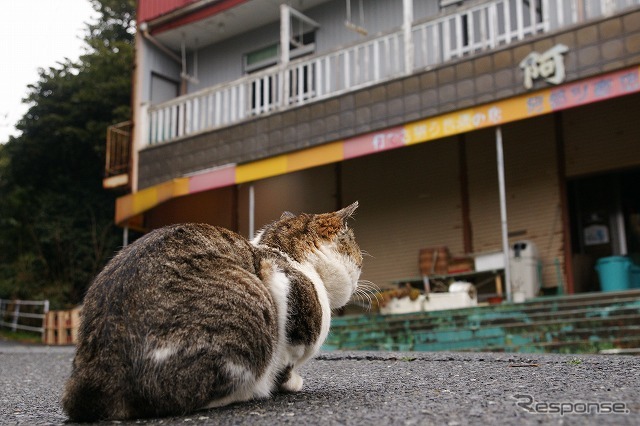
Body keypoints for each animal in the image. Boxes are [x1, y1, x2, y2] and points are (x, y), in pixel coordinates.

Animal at [62, 202, 362, 420]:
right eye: (358, 258)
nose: (360, 274)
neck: (286, 254)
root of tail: (95, 379)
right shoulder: (287, 307)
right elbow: (286, 364)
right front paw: (290, 383)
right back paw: (249, 392)